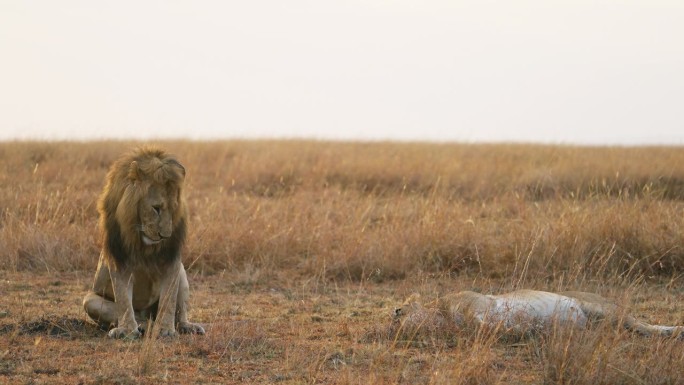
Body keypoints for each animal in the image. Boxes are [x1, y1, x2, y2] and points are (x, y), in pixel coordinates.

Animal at [83, 147, 206, 340]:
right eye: (156, 208)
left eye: (174, 209)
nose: (165, 236)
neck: (143, 244)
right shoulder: (119, 259)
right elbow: (123, 300)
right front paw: (127, 330)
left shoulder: (172, 261)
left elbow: (169, 299)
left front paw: (165, 330)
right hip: (89, 300)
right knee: (129, 313)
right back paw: (142, 325)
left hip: (182, 274)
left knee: (179, 314)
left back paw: (188, 326)